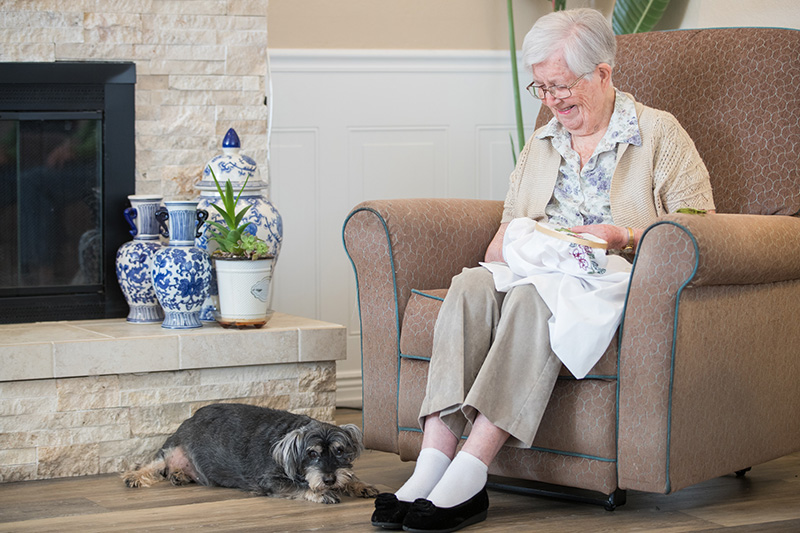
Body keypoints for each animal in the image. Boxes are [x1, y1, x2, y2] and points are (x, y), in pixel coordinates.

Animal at [122, 404, 378, 502]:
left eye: (339, 451)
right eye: (312, 454)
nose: (329, 479)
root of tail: (189, 418)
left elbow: (348, 477)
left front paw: (358, 484)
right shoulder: (270, 481)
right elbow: (298, 486)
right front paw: (320, 493)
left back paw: (179, 475)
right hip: (172, 447)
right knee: (152, 465)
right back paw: (133, 477)